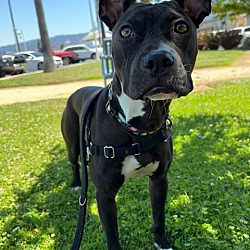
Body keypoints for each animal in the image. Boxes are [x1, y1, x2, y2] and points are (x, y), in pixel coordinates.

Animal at [60, 0, 211, 249]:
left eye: (181, 27)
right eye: (125, 31)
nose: (158, 60)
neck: (139, 125)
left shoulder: (159, 180)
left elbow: (159, 217)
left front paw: (161, 241)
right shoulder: (104, 195)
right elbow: (112, 236)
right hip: (72, 143)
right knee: (73, 162)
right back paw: (75, 183)